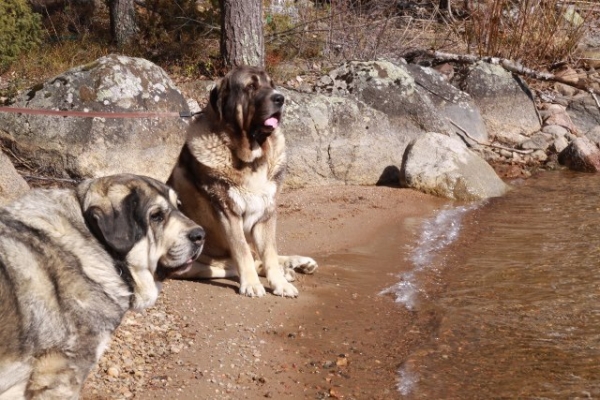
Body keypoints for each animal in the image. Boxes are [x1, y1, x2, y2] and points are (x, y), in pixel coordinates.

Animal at [168, 65, 316, 296]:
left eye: (271, 85)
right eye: (251, 86)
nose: (280, 98)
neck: (251, 160)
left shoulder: (267, 211)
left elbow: (269, 252)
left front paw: (280, 284)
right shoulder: (228, 212)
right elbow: (242, 251)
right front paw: (252, 285)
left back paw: (298, 264)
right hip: (192, 265)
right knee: (233, 264)